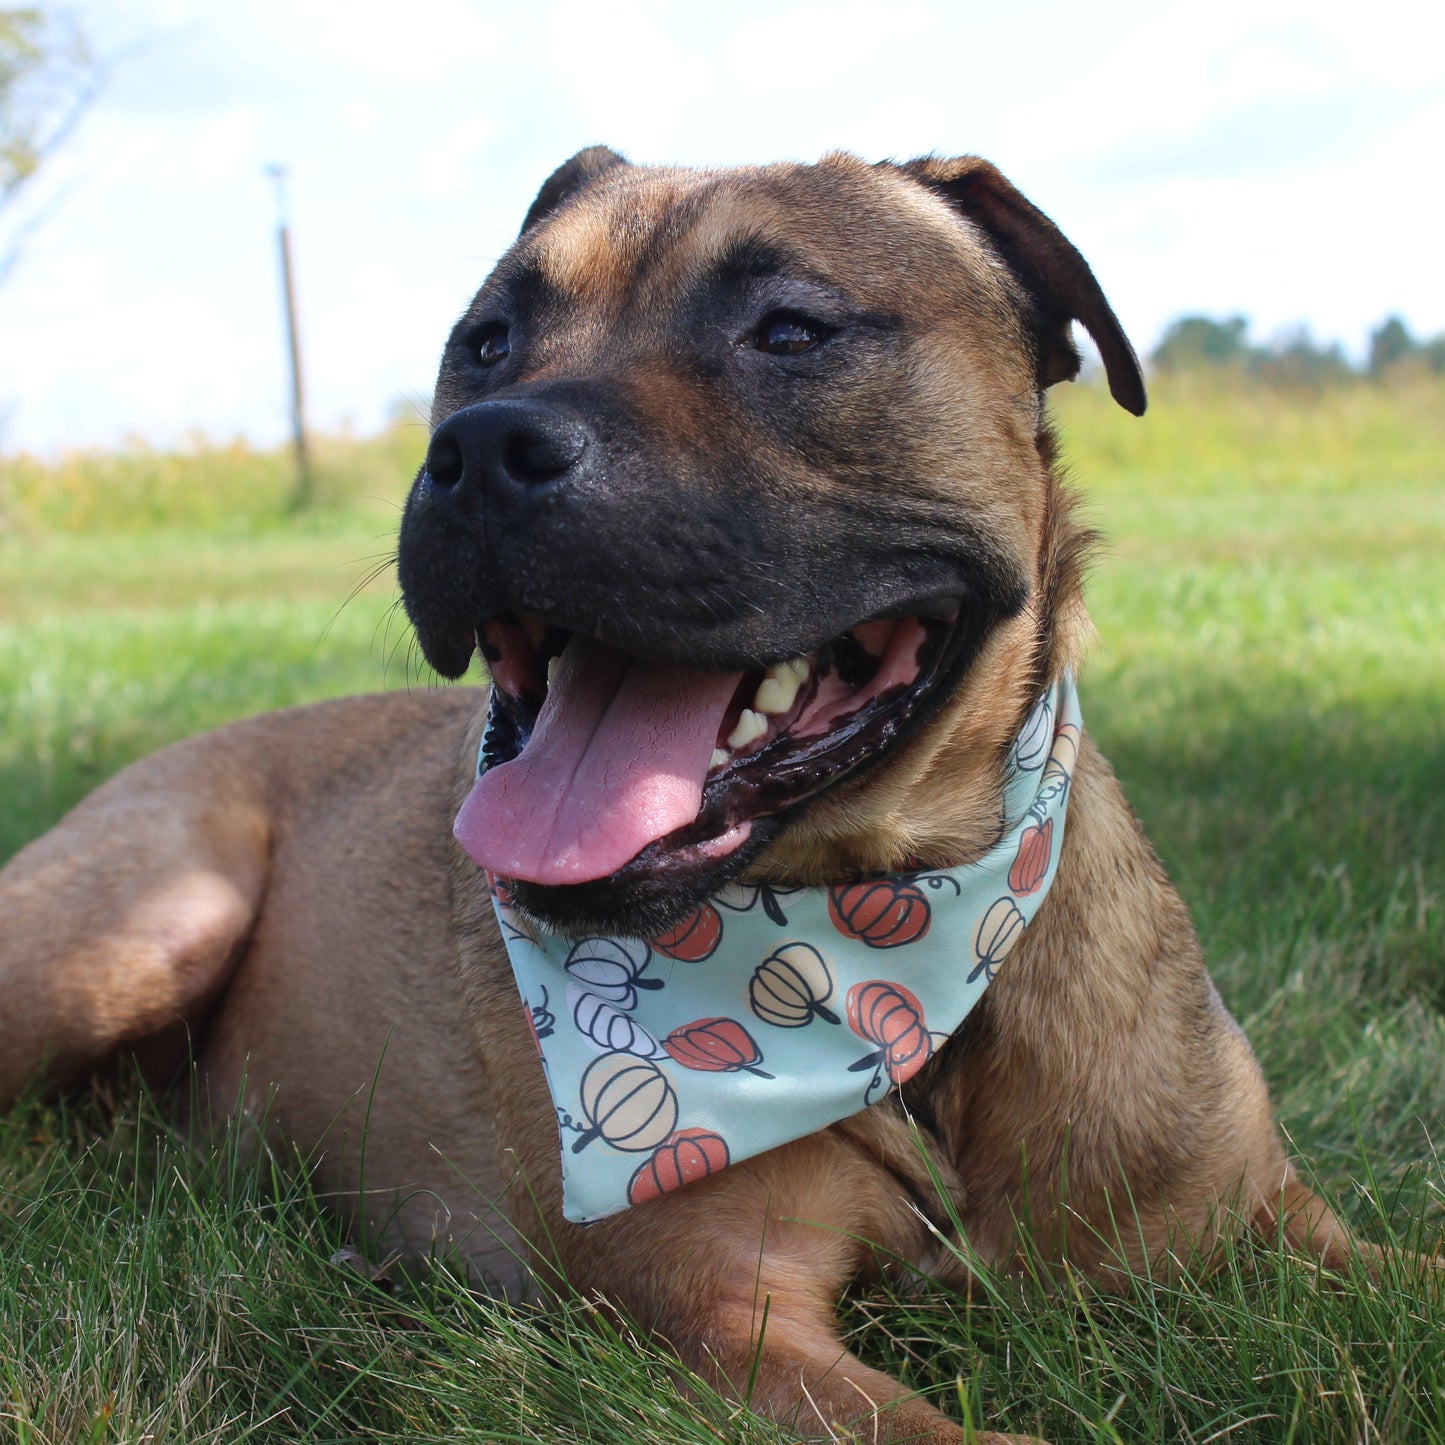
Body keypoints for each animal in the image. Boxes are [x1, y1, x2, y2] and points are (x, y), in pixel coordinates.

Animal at [0, 149, 1369, 1445]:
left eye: (790, 331)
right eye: (484, 338)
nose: (479, 452)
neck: (888, 946)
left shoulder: (1263, 1215)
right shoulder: (727, 1327)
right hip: (144, 922)